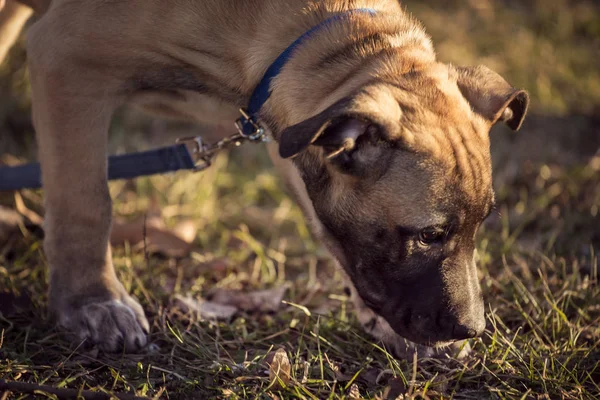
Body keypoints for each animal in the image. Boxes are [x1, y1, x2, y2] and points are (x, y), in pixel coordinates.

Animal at [0, 0, 528, 356]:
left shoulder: (286, 128)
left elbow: (324, 224)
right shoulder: (67, 61)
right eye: (429, 235)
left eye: (482, 225)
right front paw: (92, 301)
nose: (473, 329)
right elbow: (85, 200)